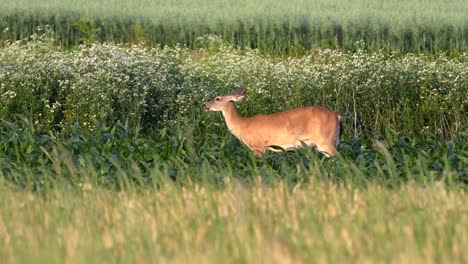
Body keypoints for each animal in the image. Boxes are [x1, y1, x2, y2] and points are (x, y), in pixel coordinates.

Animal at [203, 86, 342, 157]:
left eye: (217, 98)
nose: (204, 105)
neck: (243, 125)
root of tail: (337, 116)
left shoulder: (258, 145)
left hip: (326, 139)